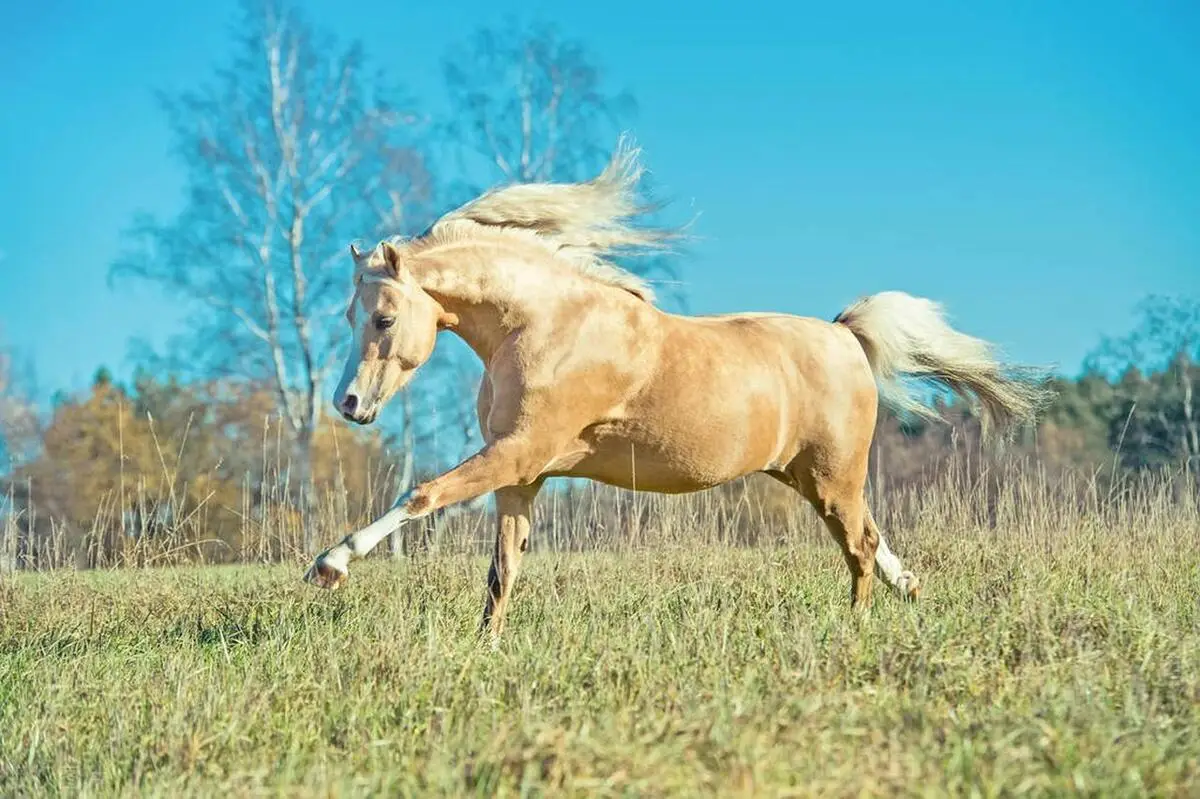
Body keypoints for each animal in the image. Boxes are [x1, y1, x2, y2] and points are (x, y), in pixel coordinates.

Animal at [302, 139, 1051, 633]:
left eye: (382, 317)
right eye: (350, 316)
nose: (348, 404)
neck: (545, 323)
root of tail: (846, 337)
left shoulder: (517, 454)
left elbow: (422, 494)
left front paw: (330, 565)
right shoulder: (523, 473)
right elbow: (502, 569)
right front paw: (484, 646)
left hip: (833, 475)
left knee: (859, 548)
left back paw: (857, 627)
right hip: (810, 478)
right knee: (872, 536)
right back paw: (911, 589)